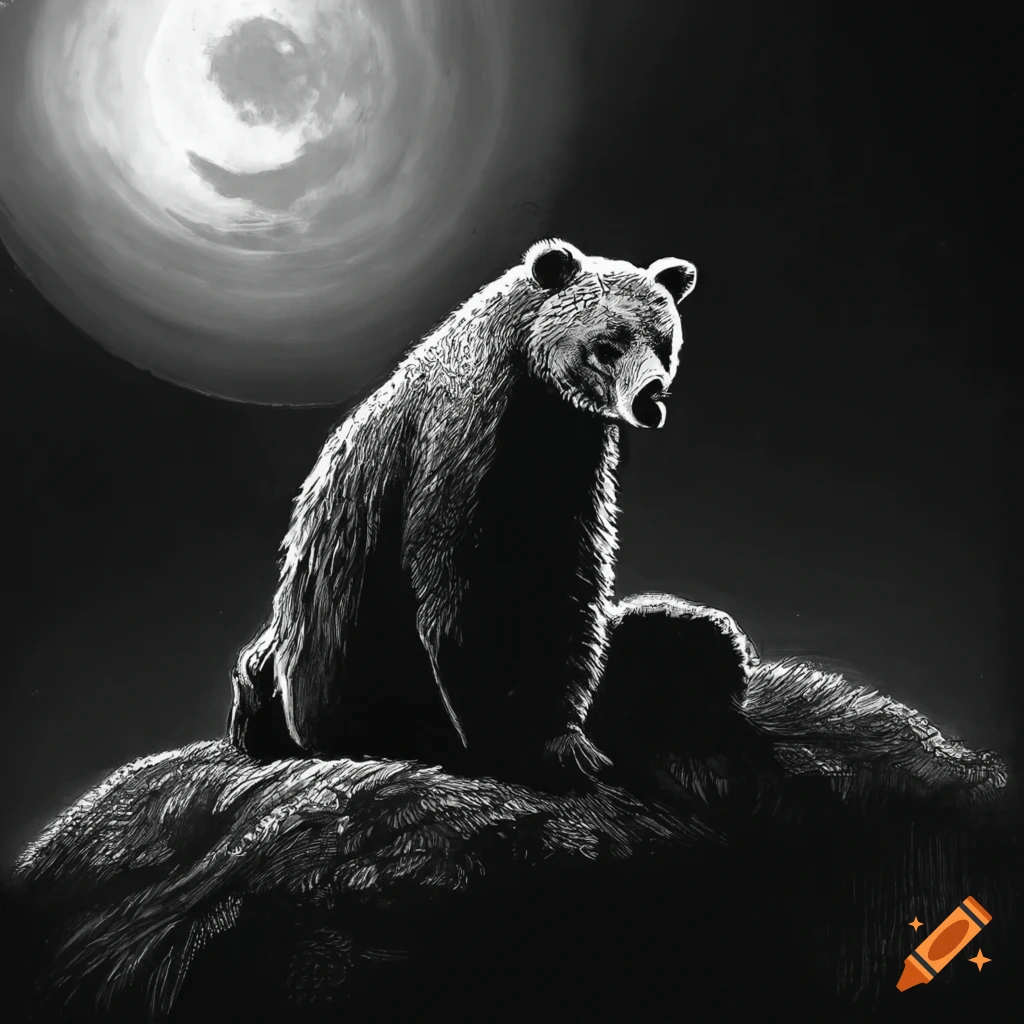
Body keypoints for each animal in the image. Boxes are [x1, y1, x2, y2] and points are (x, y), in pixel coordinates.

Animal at [227, 238, 755, 791]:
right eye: (608, 344)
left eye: (664, 344)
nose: (650, 397)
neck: (535, 397)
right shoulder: (462, 454)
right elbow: (467, 591)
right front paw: (545, 744)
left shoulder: (570, 468)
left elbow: (569, 584)